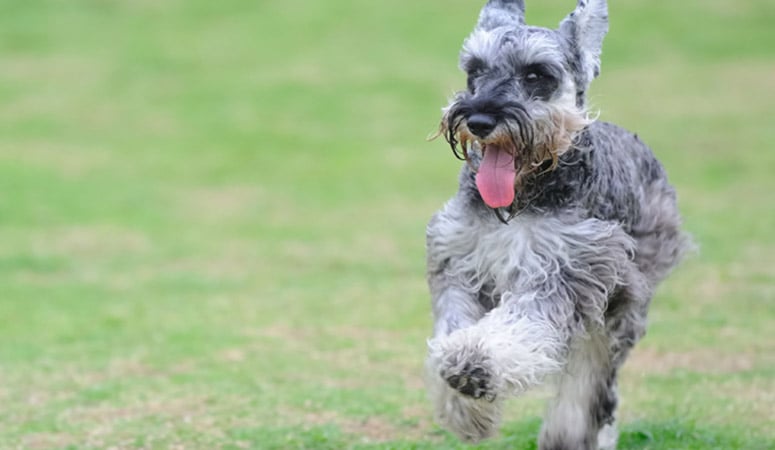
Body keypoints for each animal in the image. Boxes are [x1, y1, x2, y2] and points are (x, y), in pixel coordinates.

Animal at [424, 1, 692, 448]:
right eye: (475, 70)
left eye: (536, 74)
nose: (478, 119)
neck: (519, 203)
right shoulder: (460, 264)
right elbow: (452, 325)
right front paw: (463, 406)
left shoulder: (566, 270)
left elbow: (522, 323)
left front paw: (476, 362)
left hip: (621, 298)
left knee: (591, 377)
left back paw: (571, 431)